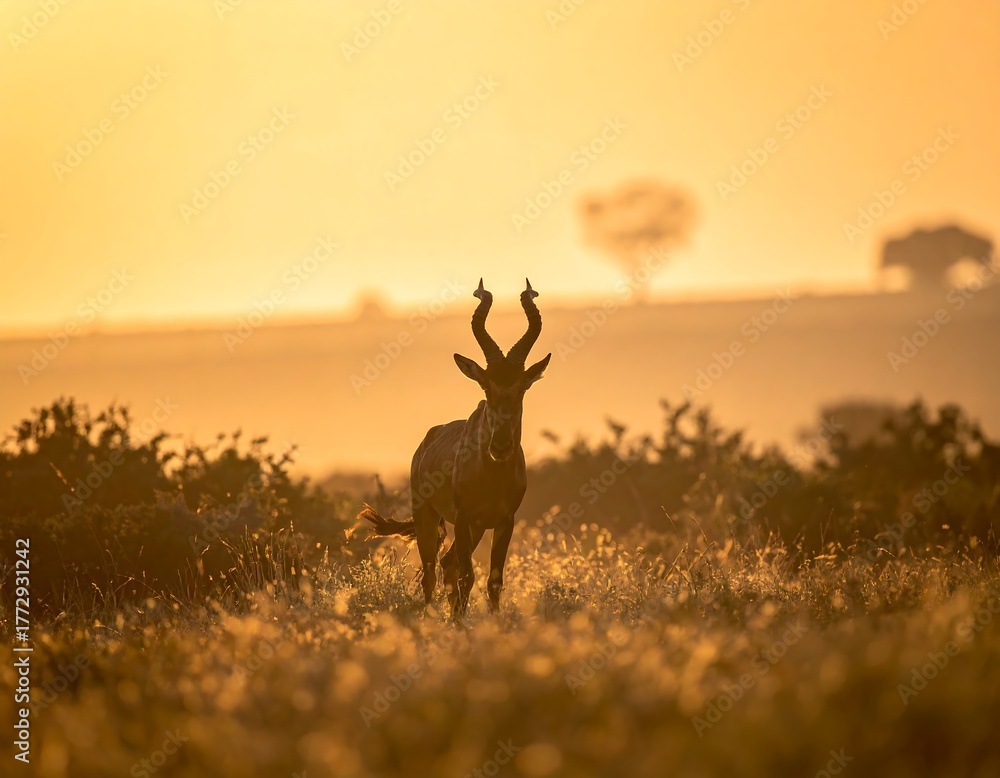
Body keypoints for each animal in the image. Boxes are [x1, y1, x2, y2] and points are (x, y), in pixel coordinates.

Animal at [359, 279, 551, 618]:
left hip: (475, 529)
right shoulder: (463, 517)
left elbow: (493, 580)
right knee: (431, 571)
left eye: (522, 387)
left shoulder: (504, 521)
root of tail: (426, 442)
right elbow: (467, 575)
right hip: (427, 515)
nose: (500, 446)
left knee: (447, 564)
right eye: (486, 386)